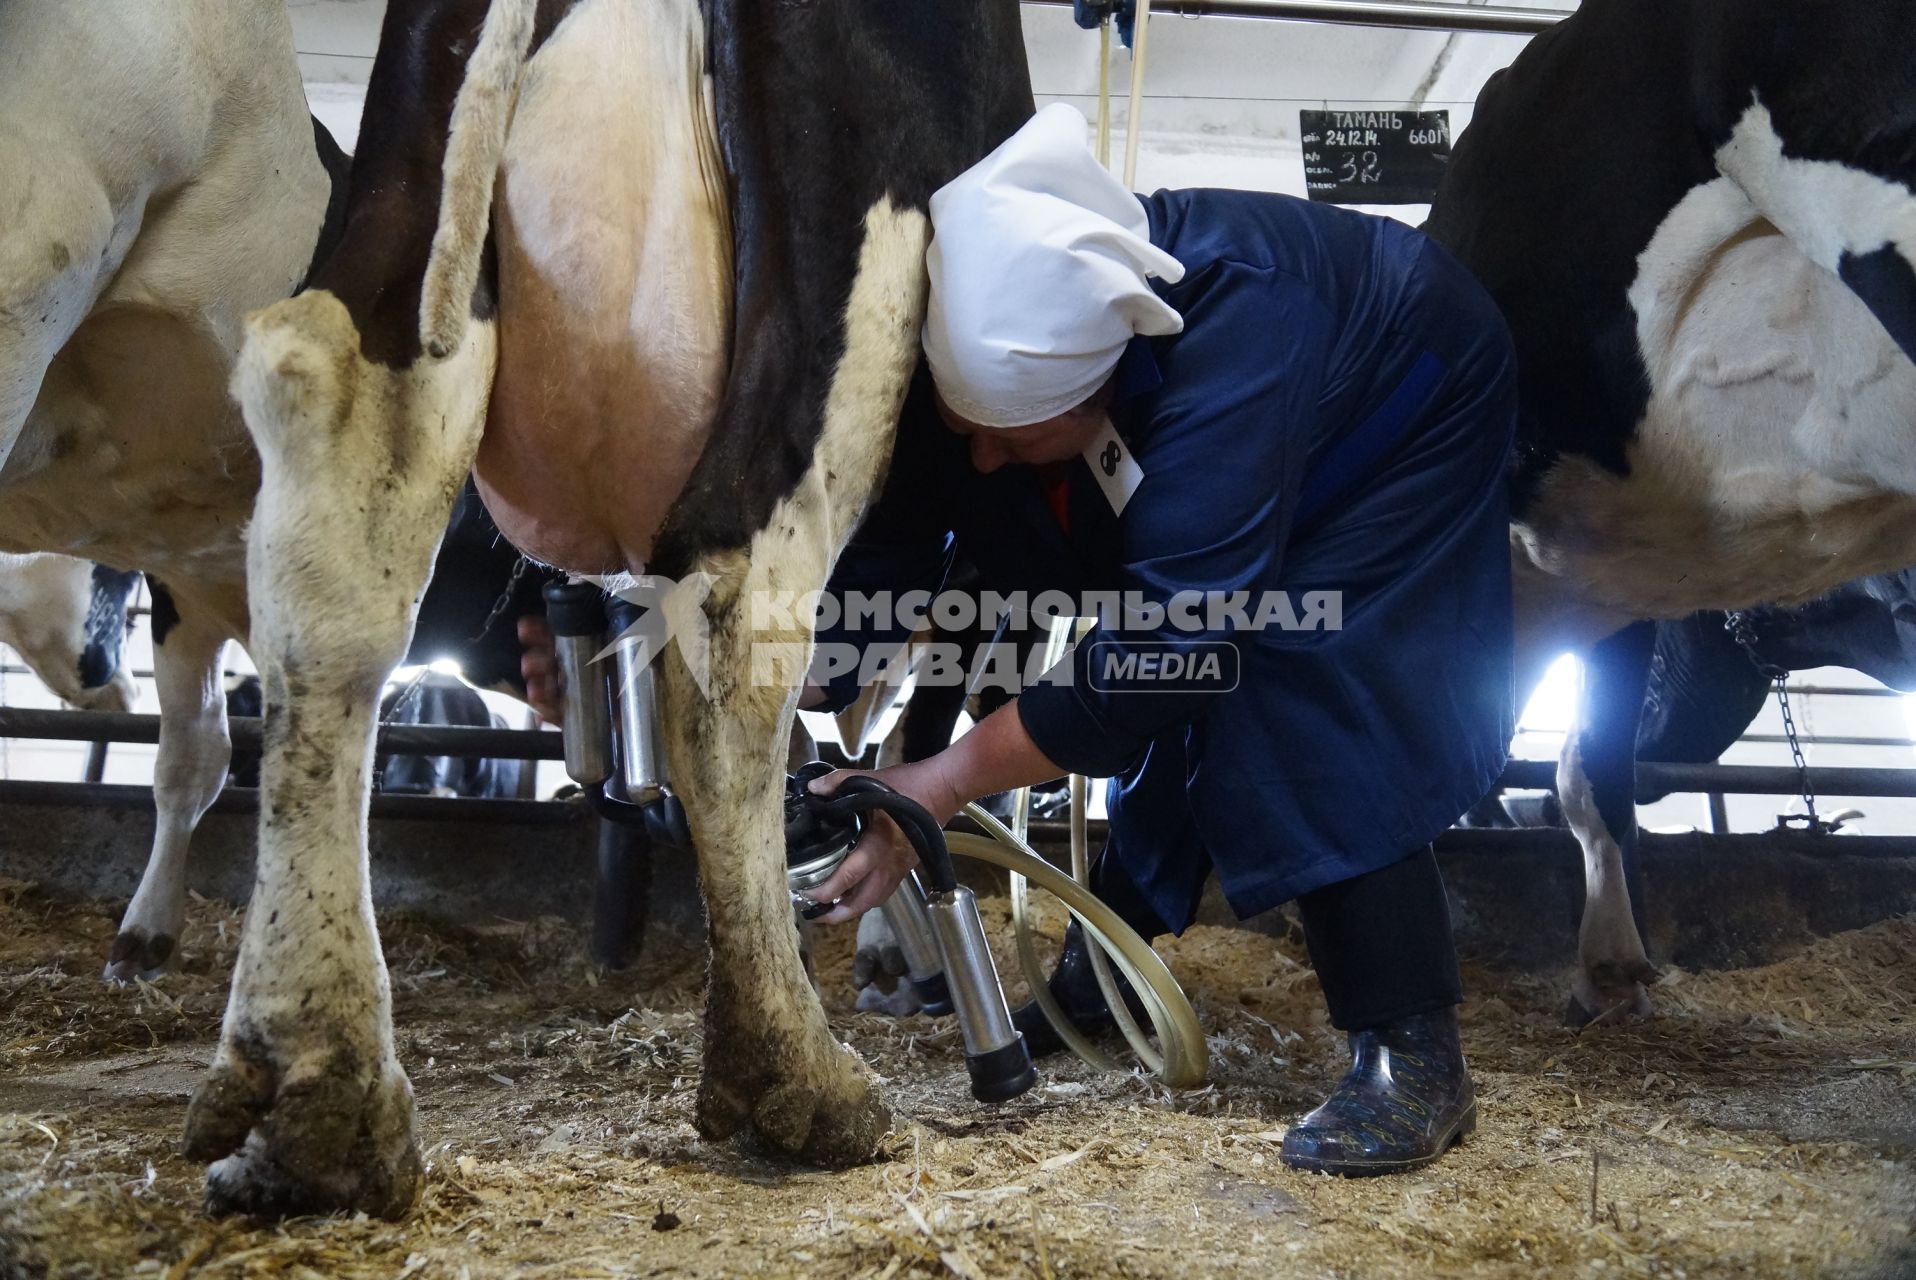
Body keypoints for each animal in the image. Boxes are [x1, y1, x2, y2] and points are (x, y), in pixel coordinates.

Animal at [182, 0, 1034, 1218]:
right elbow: (910, 738)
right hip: (857, 250)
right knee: (738, 593)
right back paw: (796, 1071)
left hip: (416, 202)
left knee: (337, 452)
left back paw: (322, 1091)